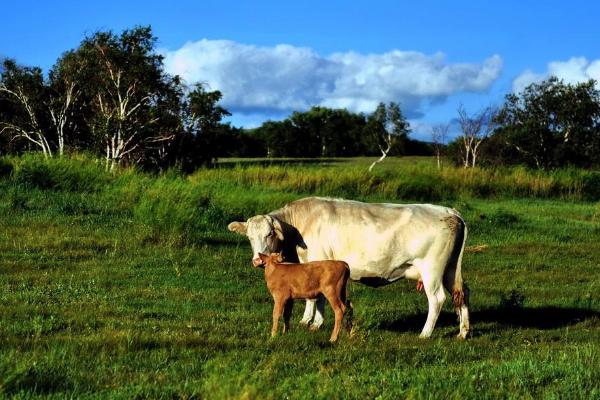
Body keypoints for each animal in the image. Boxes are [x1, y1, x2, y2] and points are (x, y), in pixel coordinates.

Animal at [229, 196, 468, 338]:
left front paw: (313, 322)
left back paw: (425, 334)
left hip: (432, 270)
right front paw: (310, 320)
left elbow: (316, 297)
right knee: (463, 293)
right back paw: (463, 332)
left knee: (437, 299)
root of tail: (449, 211)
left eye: (270, 233)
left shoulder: (317, 261)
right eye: (249, 236)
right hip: (450, 269)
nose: (257, 260)